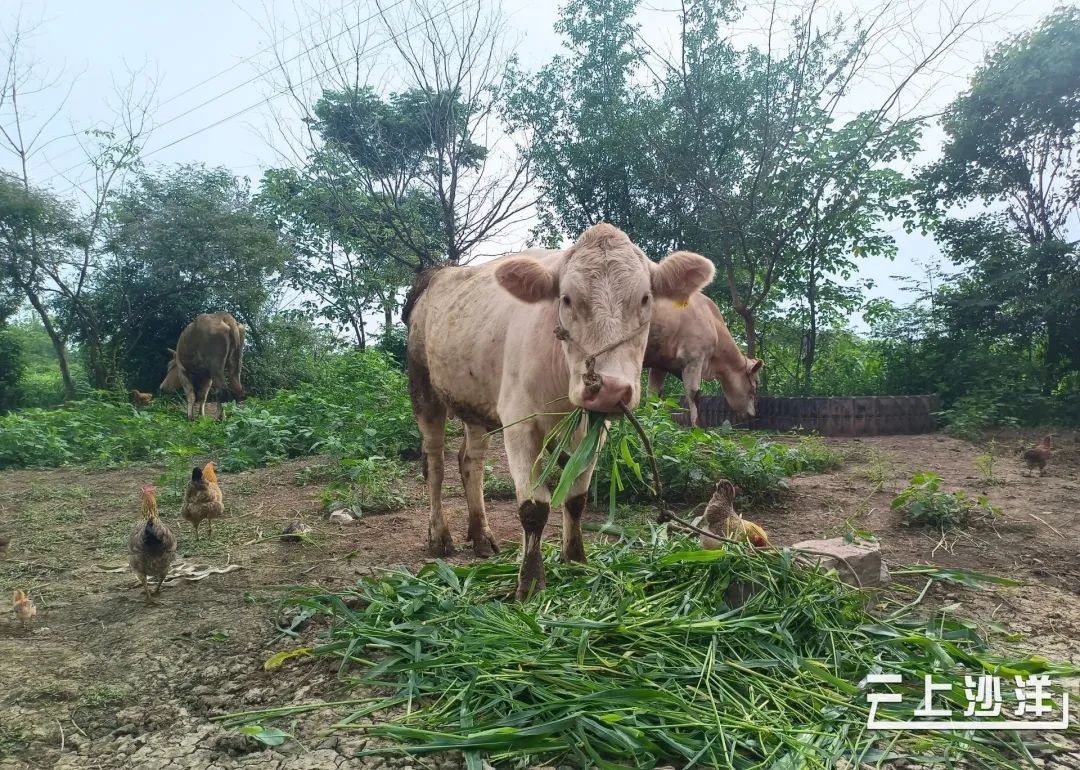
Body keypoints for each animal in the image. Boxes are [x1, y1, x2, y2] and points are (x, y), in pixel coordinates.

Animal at [406, 222, 717, 600]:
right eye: (566, 299)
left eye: (645, 298)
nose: (610, 389)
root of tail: (438, 273)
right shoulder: (519, 425)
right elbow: (533, 509)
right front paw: (529, 583)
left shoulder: (592, 429)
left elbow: (576, 498)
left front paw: (576, 560)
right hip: (423, 390)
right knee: (435, 464)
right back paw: (440, 535)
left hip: (474, 402)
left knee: (470, 461)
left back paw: (481, 535)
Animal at [643, 293, 764, 425]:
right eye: (755, 385)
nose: (753, 414)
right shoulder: (693, 359)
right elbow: (694, 394)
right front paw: (697, 426)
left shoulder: (659, 365)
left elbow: (652, 396)